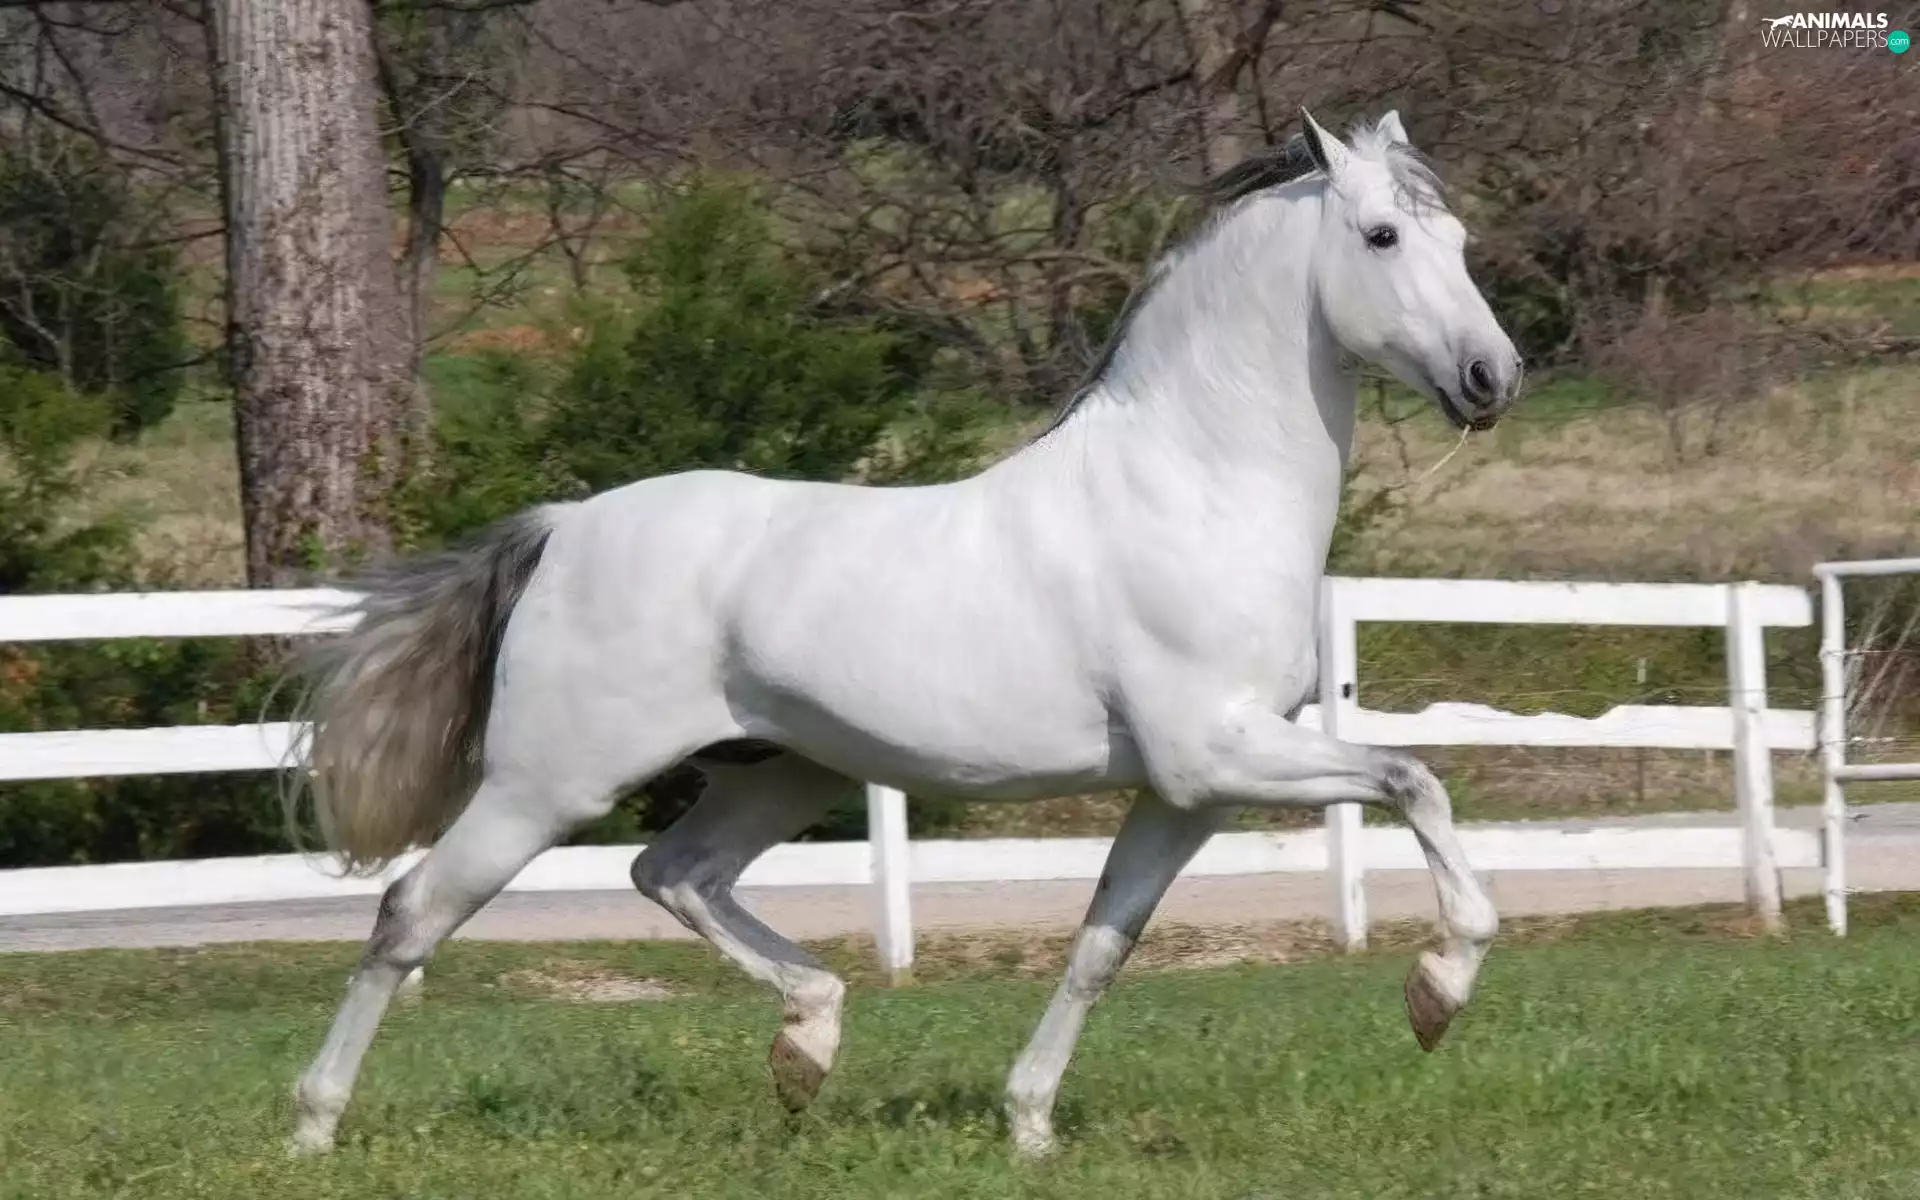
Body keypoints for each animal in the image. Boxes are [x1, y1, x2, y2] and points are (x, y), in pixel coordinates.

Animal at [285, 108, 1523, 1159]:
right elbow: (1415, 780)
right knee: (411, 914)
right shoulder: (1217, 753)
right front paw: (1437, 992)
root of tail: (565, 527)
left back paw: (808, 1044)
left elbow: (1101, 948)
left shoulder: (1189, 795)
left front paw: (1029, 1125)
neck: (1195, 486)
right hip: (544, 787)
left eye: (1460, 236)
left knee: (673, 873)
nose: (1493, 377)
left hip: (779, 771)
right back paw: (312, 1126)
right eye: (1381, 234)